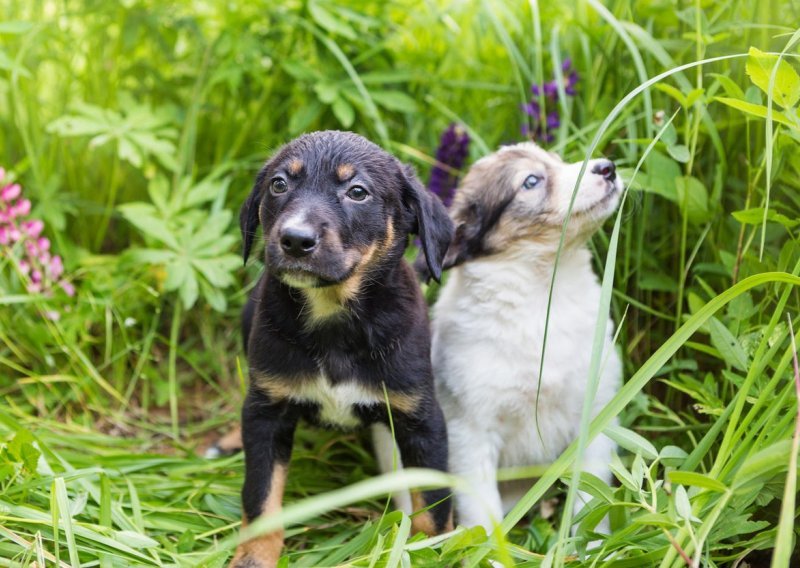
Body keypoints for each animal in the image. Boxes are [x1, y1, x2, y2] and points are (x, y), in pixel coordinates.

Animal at [231, 131, 456, 564]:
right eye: (279, 185)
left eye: (357, 192)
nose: (295, 240)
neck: (332, 316)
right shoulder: (267, 413)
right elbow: (261, 495)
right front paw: (253, 557)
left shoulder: (422, 419)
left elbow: (433, 505)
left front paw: (431, 551)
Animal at [432, 142, 624, 532]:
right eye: (531, 181)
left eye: (560, 162)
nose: (608, 167)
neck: (542, 302)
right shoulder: (469, 433)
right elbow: (481, 515)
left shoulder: (596, 413)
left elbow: (589, 505)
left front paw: (593, 544)